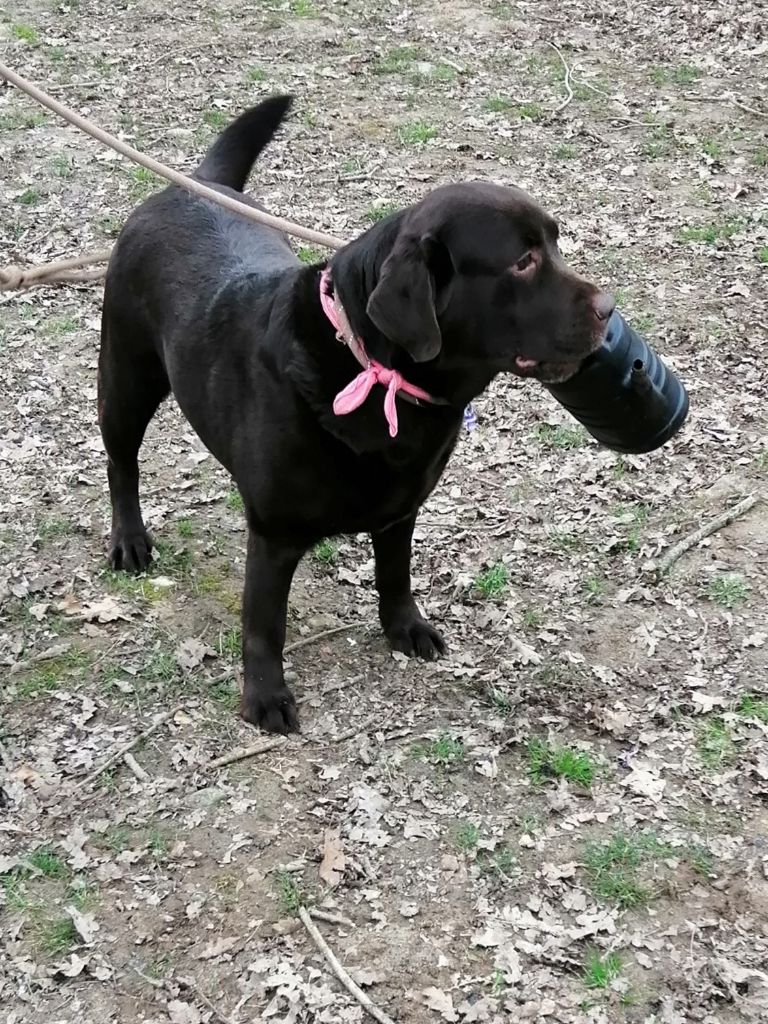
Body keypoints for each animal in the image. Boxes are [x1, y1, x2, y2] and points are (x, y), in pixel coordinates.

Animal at [97, 92, 614, 733]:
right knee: (121, 461)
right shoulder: (274, 534)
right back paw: (129, 539)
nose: (609, 308)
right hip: (127, 378)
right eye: (522, 262)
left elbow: (395, 574)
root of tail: (191, 183)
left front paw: (405, 628)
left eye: (556, 244)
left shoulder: (401, 510)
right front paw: (265, 697)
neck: (371, 369)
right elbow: (263, 623)